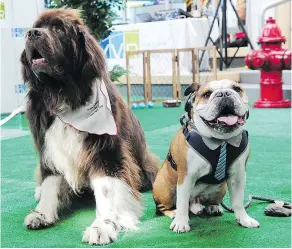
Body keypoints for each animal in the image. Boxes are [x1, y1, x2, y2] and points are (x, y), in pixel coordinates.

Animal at [20, 8, 159, 244]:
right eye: (36, 26)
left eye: (59, 29)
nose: (31, 33)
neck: (61, 95)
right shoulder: (48, 147)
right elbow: (50, 181)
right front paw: (42, 213)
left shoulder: (106, 151)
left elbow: (107, 190)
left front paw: (102, 225)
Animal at [153, 80, 260, 233]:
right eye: (207, 94)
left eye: (237, 89)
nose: (224, 94)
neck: (221, 141)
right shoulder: (186, 176)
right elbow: (182, 202)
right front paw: (181, 222)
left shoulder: (238, 176)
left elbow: (238, 201)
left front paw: (244, 219)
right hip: (165, 190)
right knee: (163, 207)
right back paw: (173, 212)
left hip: (221, 188)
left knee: (210, 201)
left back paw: (213, 207)